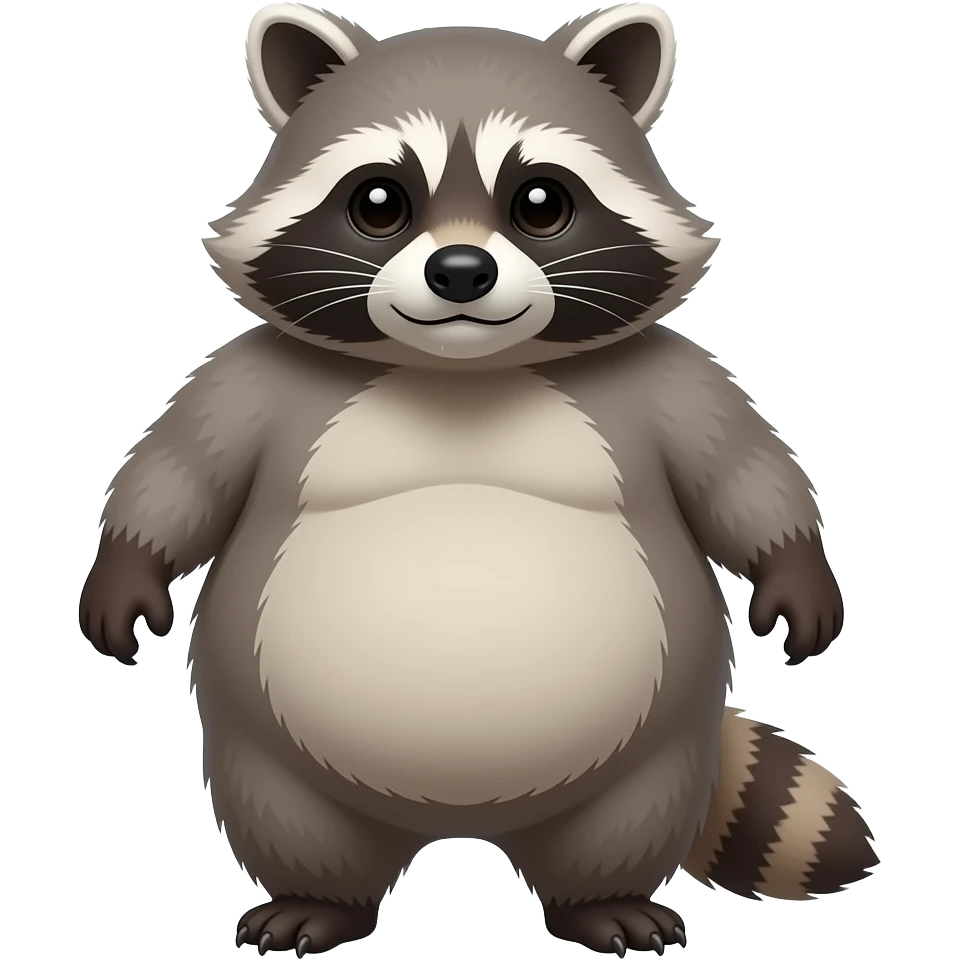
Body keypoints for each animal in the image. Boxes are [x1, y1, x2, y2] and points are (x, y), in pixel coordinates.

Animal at [78, 3, 879, 957]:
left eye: (541, 202)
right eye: (378, 202)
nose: (461, 272)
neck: (461, 373)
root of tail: (460, 822)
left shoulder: (664, 378)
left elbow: (741, 470)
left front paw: (796, 567)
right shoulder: (258, 377)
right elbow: (181, 471)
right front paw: (126, 568)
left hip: (656, 737)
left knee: (627, 817)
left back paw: (600, 901)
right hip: (264, 737)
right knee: (288, 812)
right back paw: (320, 899)